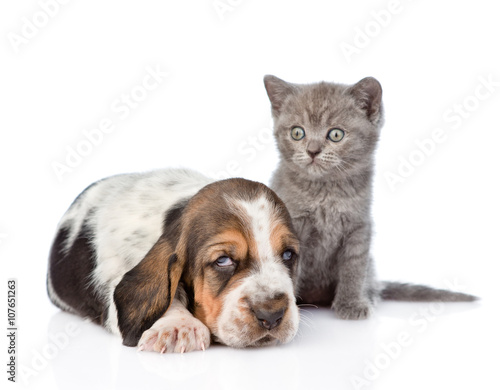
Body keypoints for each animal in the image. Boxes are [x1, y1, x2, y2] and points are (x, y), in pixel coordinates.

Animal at [264, 74, 474, 318]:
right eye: (297, 132)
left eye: (336, 134)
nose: (313, 150)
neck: (326, 192)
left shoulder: (359, 226)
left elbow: (354, 267)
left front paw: (351, 304)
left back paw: (370, 295)